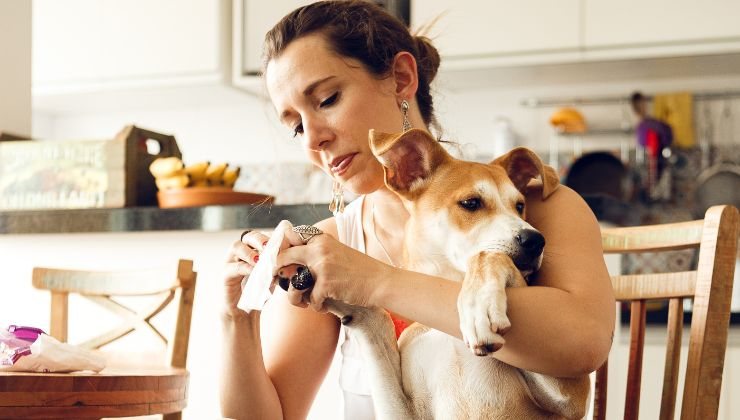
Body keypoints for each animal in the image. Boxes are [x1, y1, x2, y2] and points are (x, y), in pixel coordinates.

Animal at [324, 129, 588, 420]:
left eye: (519, 206)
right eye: (471, 203)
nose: (535, 241)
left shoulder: (570, 393)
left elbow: (486, 256)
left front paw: (478, 306)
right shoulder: (404, 412)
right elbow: (377, 326)